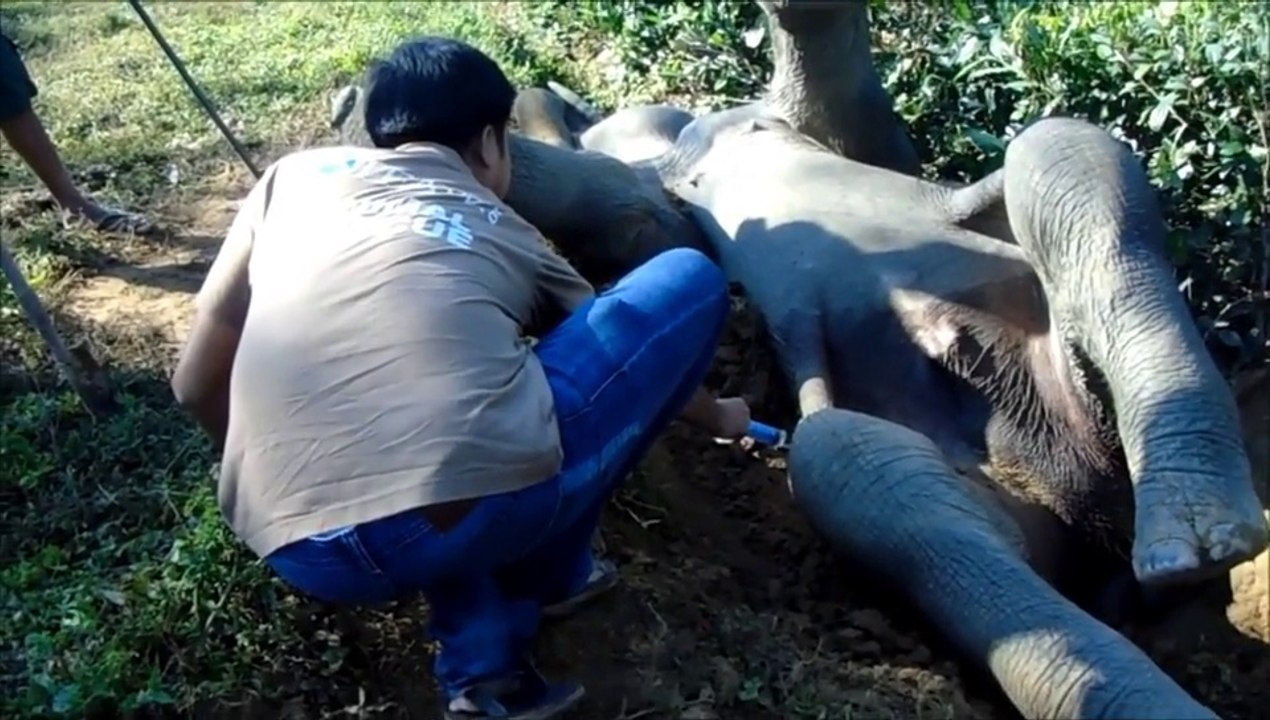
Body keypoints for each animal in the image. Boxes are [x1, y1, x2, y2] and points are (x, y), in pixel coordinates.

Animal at [328, 1, 1268, 717]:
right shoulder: (651, 205)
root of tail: (1086, 490)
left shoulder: (816, 142)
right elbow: (613, 203)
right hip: (969, 471)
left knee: (1062, 156)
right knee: (872, 481)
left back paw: (1198, 524)